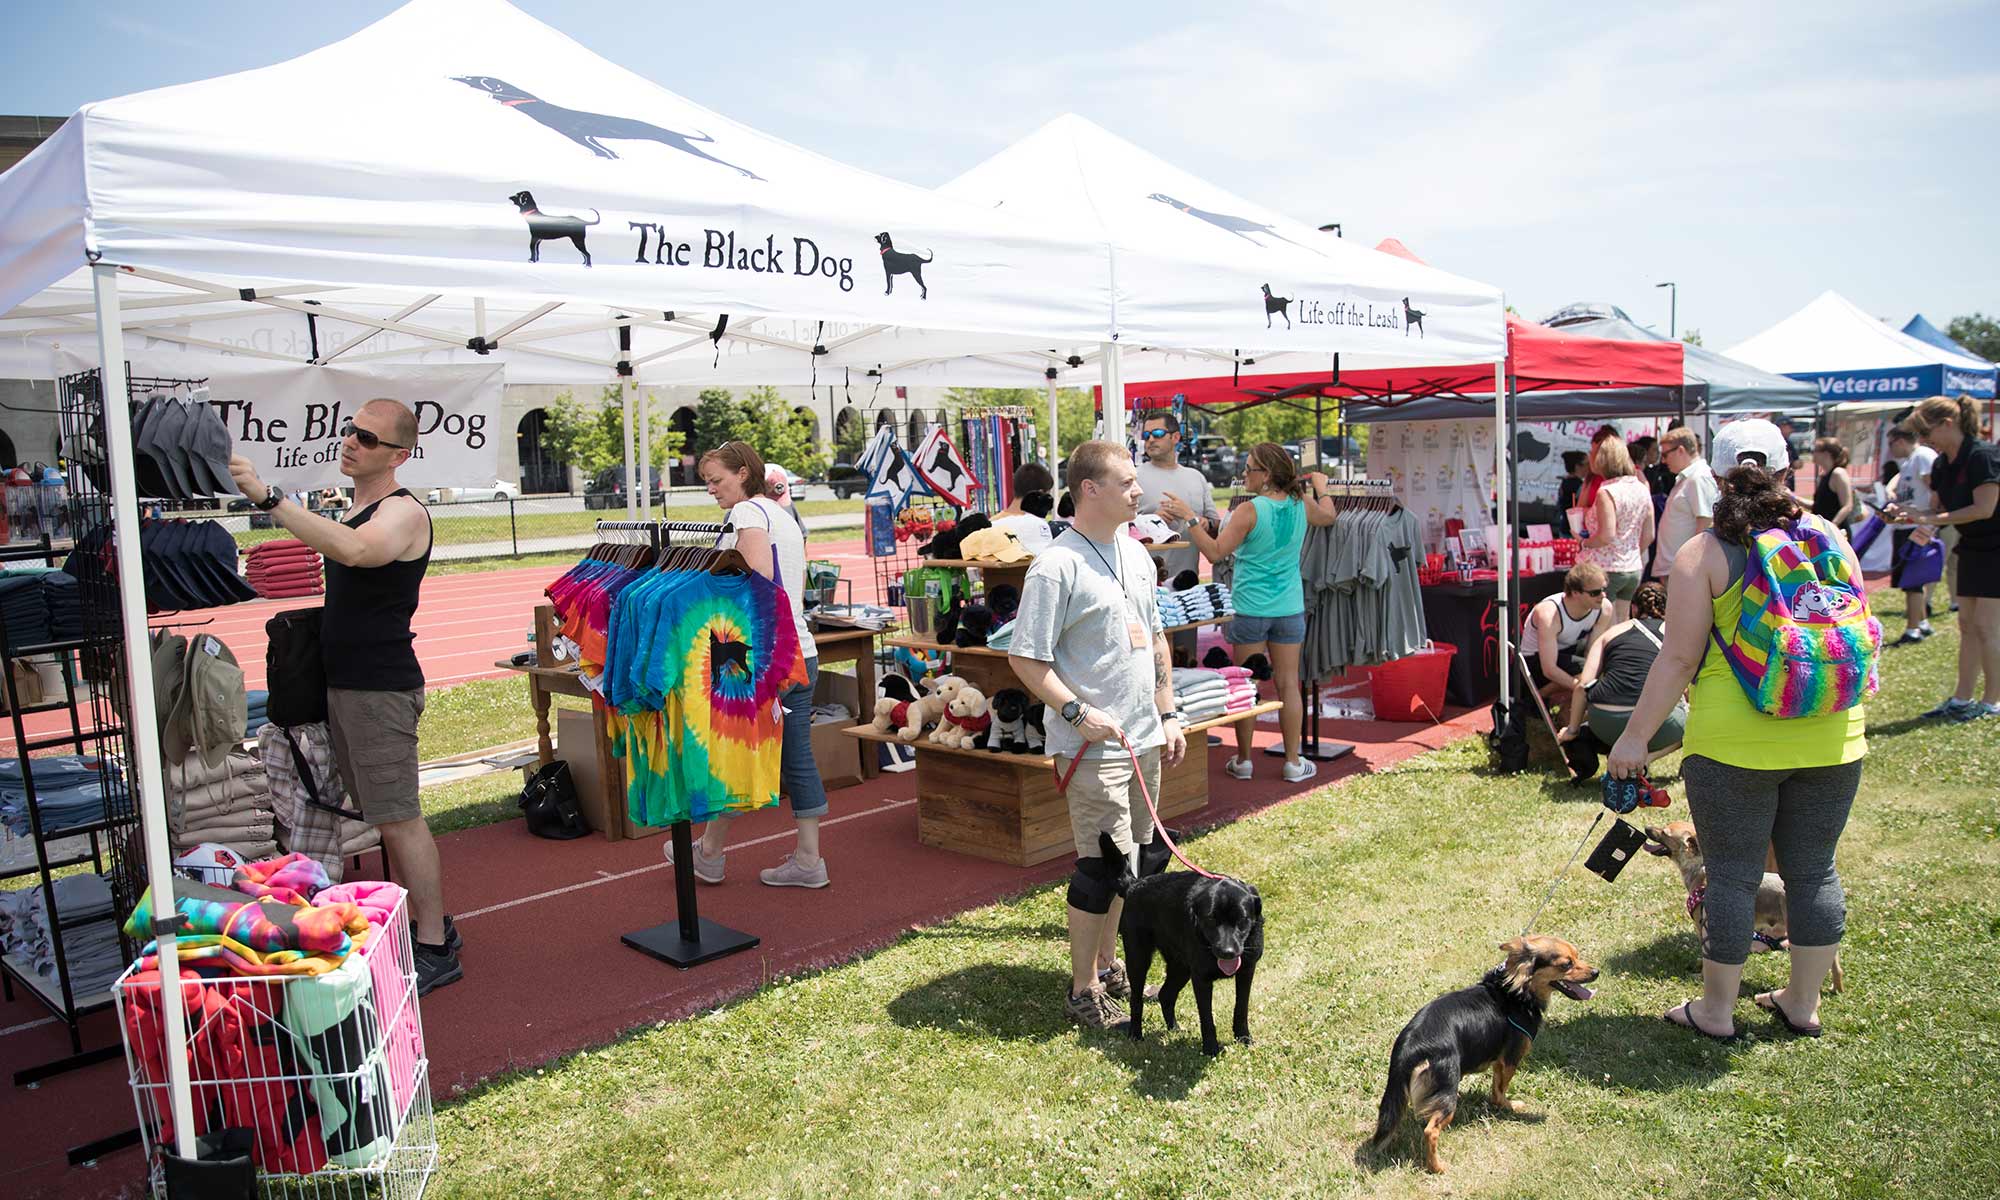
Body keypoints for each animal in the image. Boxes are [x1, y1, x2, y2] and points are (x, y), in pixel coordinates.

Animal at [1104, 828, 1256, 1056]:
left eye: (1242, 920)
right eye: (1211, 920)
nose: (1227, 952)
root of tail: (1135, 884)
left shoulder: (1246, 971)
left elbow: (1241, 1009)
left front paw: (1244, 1039)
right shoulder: (1201, 978)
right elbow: (1206, 1017)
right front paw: (1210, 1049)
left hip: (1181, 966)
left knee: (1165, 995)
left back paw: (1174, 1028)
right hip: (1139, 958)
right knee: (1136, 1000)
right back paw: (1136, 1034)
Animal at [1368, 936, 1600, 1168]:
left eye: (1577, 956)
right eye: (1567, 964)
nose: (1596, 972)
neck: (1516, 991)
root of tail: (1409, 1047)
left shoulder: (1499, 1061)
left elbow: (1496, 1087)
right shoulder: (1511, 1059)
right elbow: (1501, 1089)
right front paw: (1510, 1106)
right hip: (1448, 1086)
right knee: (1431, 1131)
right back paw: (1437, 1167)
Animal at [1640, 824, 1840, 992]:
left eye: (1665, 832)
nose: (1646, 827)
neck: (1697, 868)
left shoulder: (1703, 928)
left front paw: (1700, 976)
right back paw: (1836, 988)